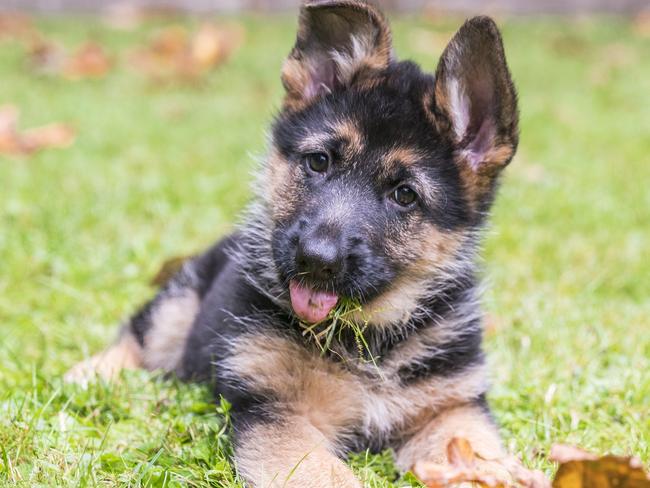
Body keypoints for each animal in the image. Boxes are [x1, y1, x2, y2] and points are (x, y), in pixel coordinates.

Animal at [67, 1, 520, 486]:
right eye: (318, 161)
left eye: (404, 195)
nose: (315, 261)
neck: (367, 340)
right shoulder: (277, 412)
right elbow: (330, 475)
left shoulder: (452, 408)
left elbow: (480, 459)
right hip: (179, 303)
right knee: (140, 336)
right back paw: (90, 373)